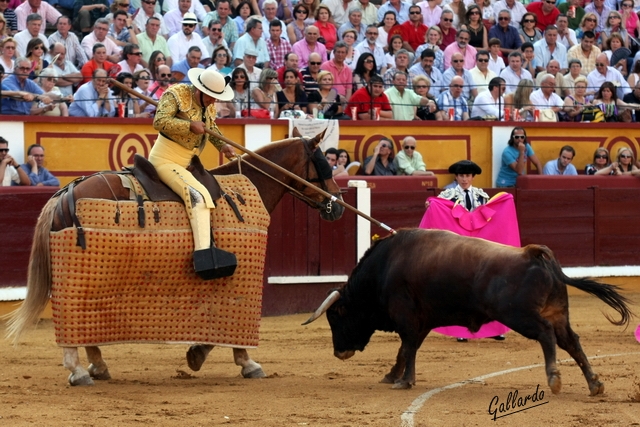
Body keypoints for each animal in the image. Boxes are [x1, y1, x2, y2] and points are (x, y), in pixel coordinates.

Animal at [6, 131, 344, 388]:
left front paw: (203, 354)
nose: (339, 206)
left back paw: (97, 367)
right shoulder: (241, 275)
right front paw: (239, 361)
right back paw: (79, 371)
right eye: (324, 165)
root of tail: (64, 193)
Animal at [302, 229, 632, 396]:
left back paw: (554, 379)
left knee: (546, 336)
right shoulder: (422, 321)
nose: (339, 352)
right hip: (558, 313)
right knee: (571, 342)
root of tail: (534, 253)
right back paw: (595, 384)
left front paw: (404, 382)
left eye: (336, 318)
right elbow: (406, 350)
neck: (384, 268)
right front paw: (393, 376)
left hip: (520, 316)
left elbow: (406, 348)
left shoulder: (406, 317)